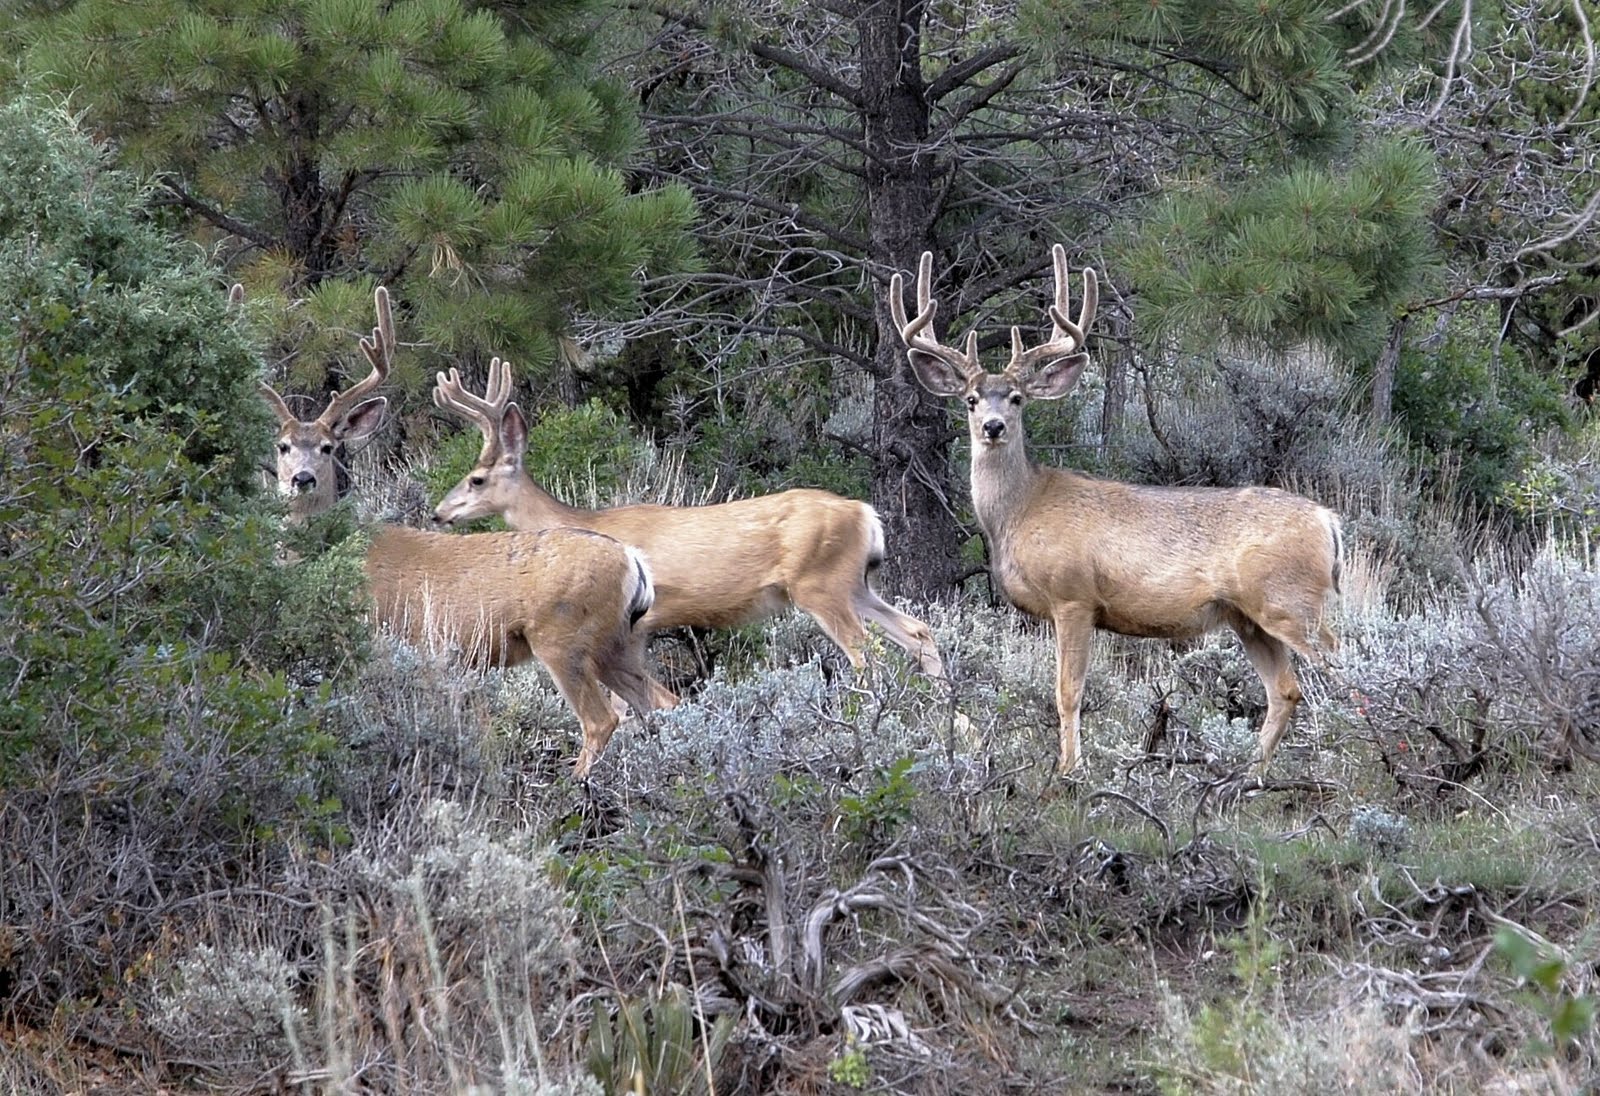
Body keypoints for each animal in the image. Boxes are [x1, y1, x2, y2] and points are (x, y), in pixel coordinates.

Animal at [257, 285, 670, 776]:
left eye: (326, 447)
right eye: (283, 446)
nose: (302, 479)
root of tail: (633, 561)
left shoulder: (379, 637)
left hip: (563, 636)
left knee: (601, 719)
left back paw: (574, 786)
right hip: (620, 644)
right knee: (661, 702)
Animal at [428, 358, 945, 690]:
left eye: (476, 479)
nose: (439, 512)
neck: (583, 523)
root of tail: (865, 512)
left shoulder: (639, 620)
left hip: (821, 584)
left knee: (868, 655)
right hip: (856, 583)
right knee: (918, 634)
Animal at [889, 246, 1343, 776]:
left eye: (1018, 397)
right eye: (970, 399)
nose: (994, 426)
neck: (1020, 511)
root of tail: (1329, 521)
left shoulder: (1074, 595)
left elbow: (1068, 691)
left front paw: (1069, 771)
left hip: (1290, 601)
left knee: (1343, 666)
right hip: (1249, 617)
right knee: (1286, 690)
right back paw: (1246, 774)